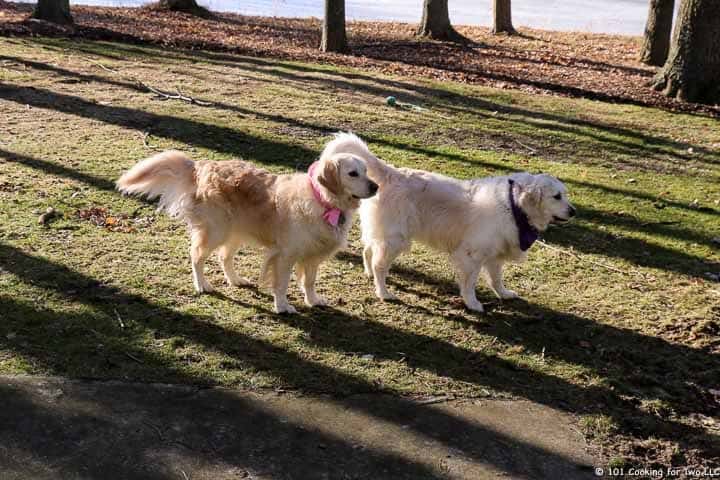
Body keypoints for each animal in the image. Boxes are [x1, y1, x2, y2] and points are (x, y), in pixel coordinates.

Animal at [115, 135, 380, 316]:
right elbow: (281, 283)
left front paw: (313, 300)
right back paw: (202, 285)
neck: (323, 201)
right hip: (216, 231)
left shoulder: (312, 255)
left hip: (236, 233)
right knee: (196, 256)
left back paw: (235, 280)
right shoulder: (285, 255)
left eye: (366, 171)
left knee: (224, 257)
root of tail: (203, 166)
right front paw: (282, 306)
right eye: (353, 173)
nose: (375, 186)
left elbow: (309, 281)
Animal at [340, 133, 576, 314]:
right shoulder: (472, 255)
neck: (513, 204)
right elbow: (470, 283)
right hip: (395, 240)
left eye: (565, 194)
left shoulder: (494, 256)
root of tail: (392, 173)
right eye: (556, 197)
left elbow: (496, 279)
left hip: (383, 235)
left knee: (367, 251)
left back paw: (369, 274)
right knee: (380, 265)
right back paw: (383, 292)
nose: (574, 212)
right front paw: (473, 304)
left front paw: (504, 293)